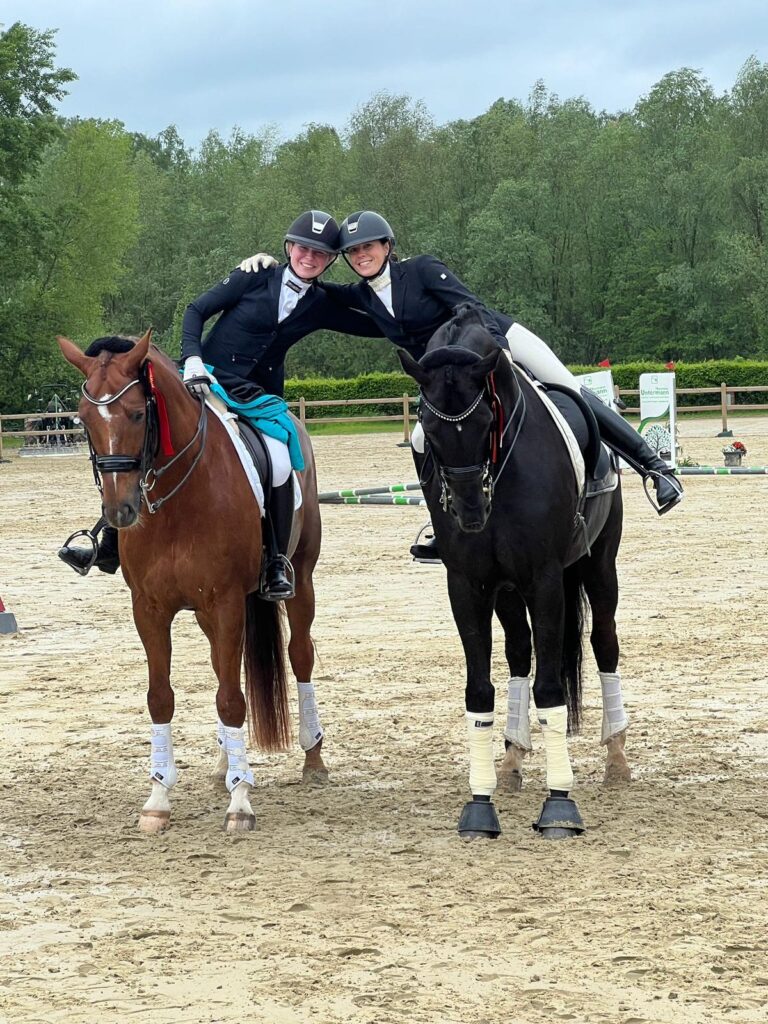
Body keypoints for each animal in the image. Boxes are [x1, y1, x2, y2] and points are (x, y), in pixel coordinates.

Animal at [57, 329, 326, 833]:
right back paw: (225, 765)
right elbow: (162, 697)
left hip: (300, 578)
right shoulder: (150, 609)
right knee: (226, 667)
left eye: (138, 413)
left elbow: (232, 700)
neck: (178, 498)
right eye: (83, 419)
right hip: (208, 615)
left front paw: (241, 804)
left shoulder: (226, 603)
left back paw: (312, 757)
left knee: (299, 655)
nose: (120, 511)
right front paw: (158, 796)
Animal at [399, 306, 630, 840]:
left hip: (598, 567)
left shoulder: (544, 579)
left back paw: (616, 756)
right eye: (428, 428)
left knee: (604, 643)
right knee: (521, 653)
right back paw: (512, 758)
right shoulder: (467, 584)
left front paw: (560, 804)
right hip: (506, 590)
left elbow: (550, 688)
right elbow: (480, 690)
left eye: (487, 420)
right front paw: (480, 803)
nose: (469, 511)